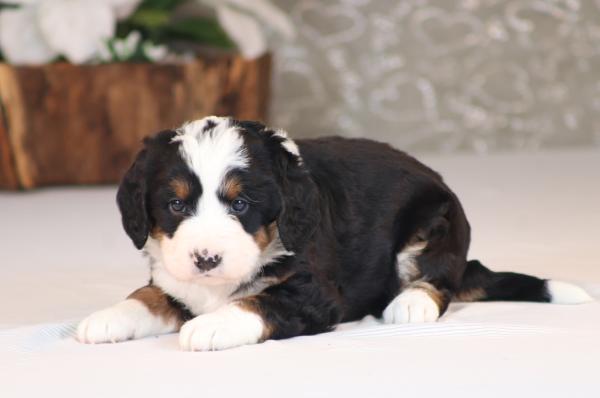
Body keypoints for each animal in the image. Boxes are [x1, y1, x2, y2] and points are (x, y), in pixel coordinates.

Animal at [75, 116, 592, 350]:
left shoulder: (314, 294)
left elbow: (257, 302)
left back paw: (412, 302)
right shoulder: (172, 277)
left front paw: (210, 324)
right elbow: (149, 294)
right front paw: (107, 318)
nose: (205, 259)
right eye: (177, 205)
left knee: (442, 277)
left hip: (437, 221)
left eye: (241, 205)